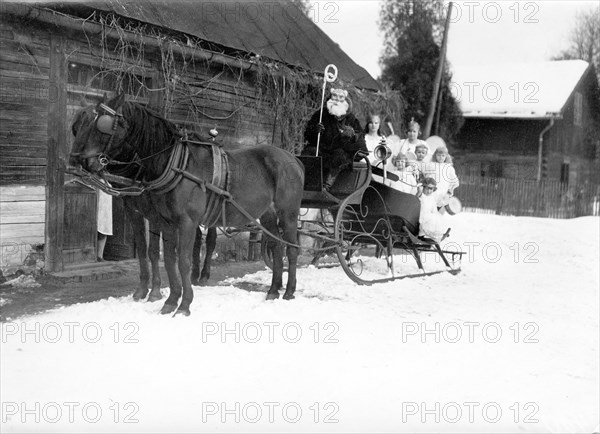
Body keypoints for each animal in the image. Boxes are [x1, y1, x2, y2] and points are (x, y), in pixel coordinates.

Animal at [69, 92, 304, 316]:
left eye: (102, 126)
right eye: (77, 127)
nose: (77, 161)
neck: (173, 163)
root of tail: (292, 157)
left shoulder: (186, 221)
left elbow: (182, 260)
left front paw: (183, 305)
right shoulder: (164, 221)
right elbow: (168, 260)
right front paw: (170, 301)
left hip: (288, 213)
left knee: (292, 249)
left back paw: (289, 291)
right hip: (267, 214)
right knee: (276, 246)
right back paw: (273, 290)